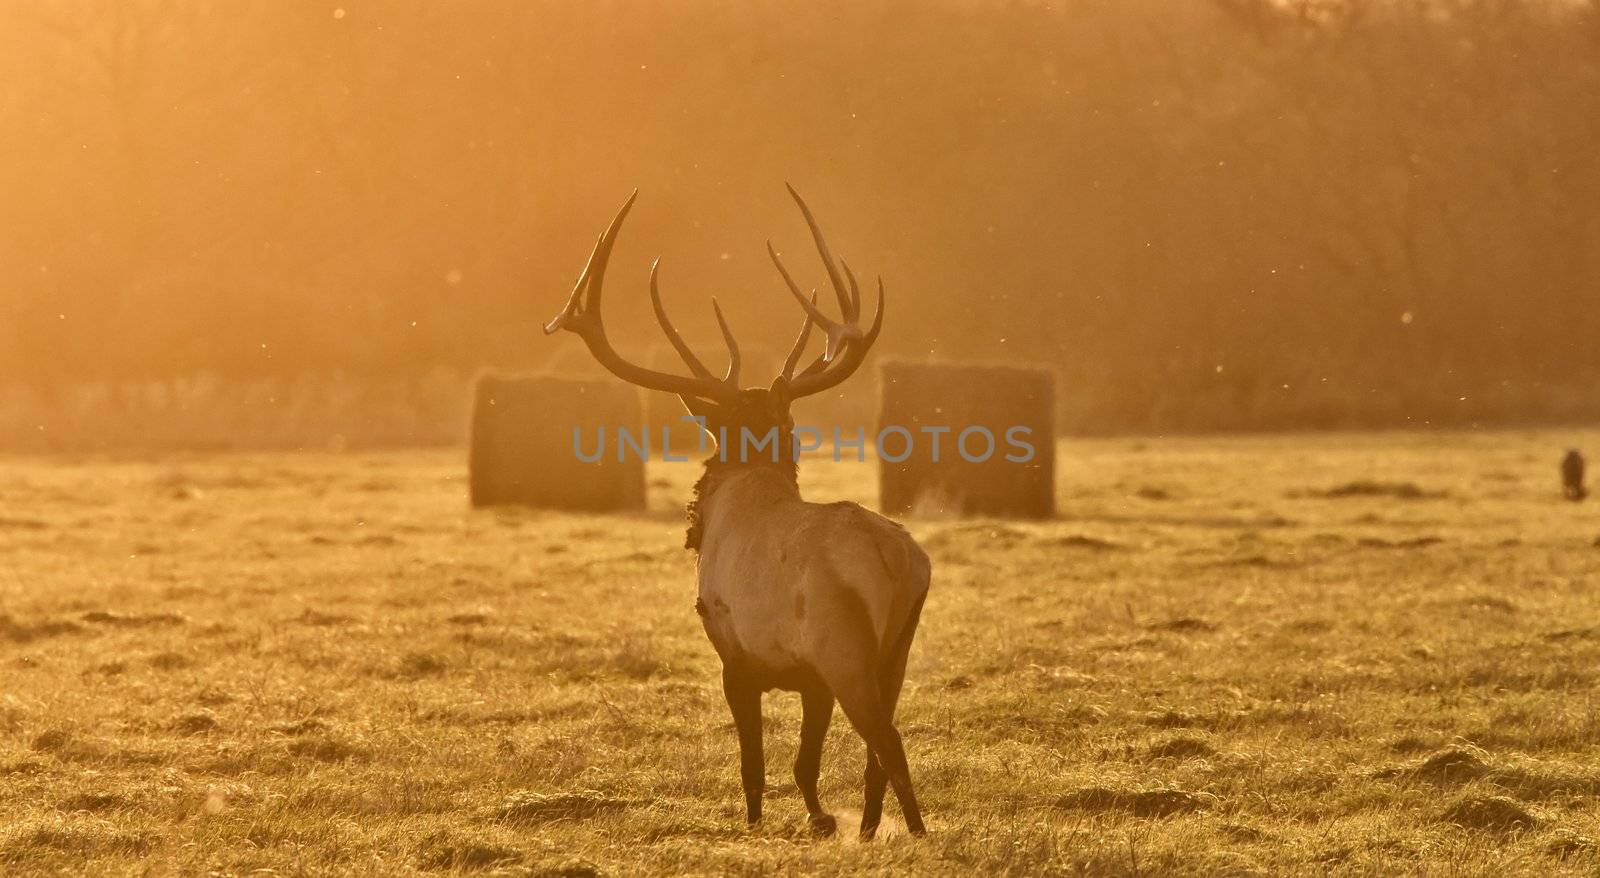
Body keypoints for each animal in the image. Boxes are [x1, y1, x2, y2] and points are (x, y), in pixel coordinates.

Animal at [547, 186, 934, 838]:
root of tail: (898, 559)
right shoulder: (808, 677)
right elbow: (804, 763)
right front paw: (822, 821)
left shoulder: (735, 651)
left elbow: (754, 762)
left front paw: (756, 826)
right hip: (895, 651)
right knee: (878, 755)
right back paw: (868, 830)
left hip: (845, 648)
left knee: (890, 743)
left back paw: (916, 833)